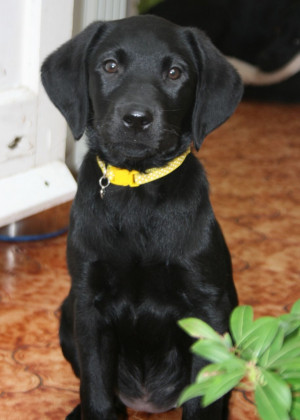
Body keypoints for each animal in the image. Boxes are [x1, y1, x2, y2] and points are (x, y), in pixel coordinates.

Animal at [41, 14, 241, 418]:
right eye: (110, 66)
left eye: (175, 73)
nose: (136, 119)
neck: (137, 192)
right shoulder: (88, 304)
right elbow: (97, 392)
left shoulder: (208, 307)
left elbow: (203, 397)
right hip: (67, 313)